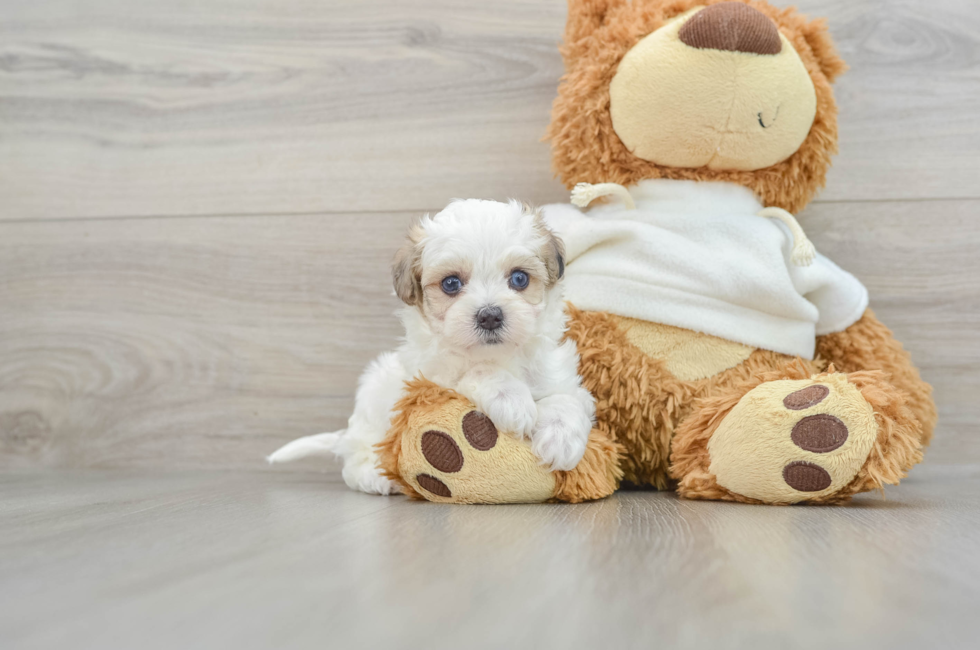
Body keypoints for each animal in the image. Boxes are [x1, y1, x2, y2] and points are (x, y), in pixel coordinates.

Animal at [264, 197, 592, 492]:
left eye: (520, 279)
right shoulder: (431, 377)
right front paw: (510, 398)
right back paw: (376, 477)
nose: (489, 316)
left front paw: (561, 439)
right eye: (451, 283)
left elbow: (566, 398)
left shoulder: (558, 375)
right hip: (374, 402)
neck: (498, 355)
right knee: (356, 457)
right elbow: (474, 372)